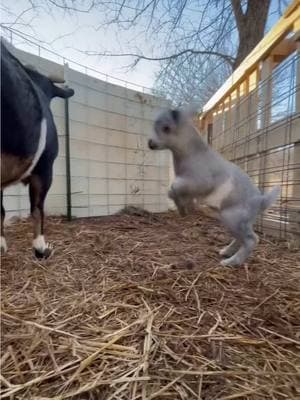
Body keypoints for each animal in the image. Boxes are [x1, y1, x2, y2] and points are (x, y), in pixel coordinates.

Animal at [149, 108, 280, 268]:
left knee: (251, 240)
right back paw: (226, 252)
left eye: (166, 128)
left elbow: (175, 186)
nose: (150, 143)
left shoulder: (200, 182)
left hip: (233, 218)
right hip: (235, 221)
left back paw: (231, 262)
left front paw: (184, 208)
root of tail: (261, 200)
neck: (194, 155)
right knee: (241, 238)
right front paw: (184, 209)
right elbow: (174, 192)